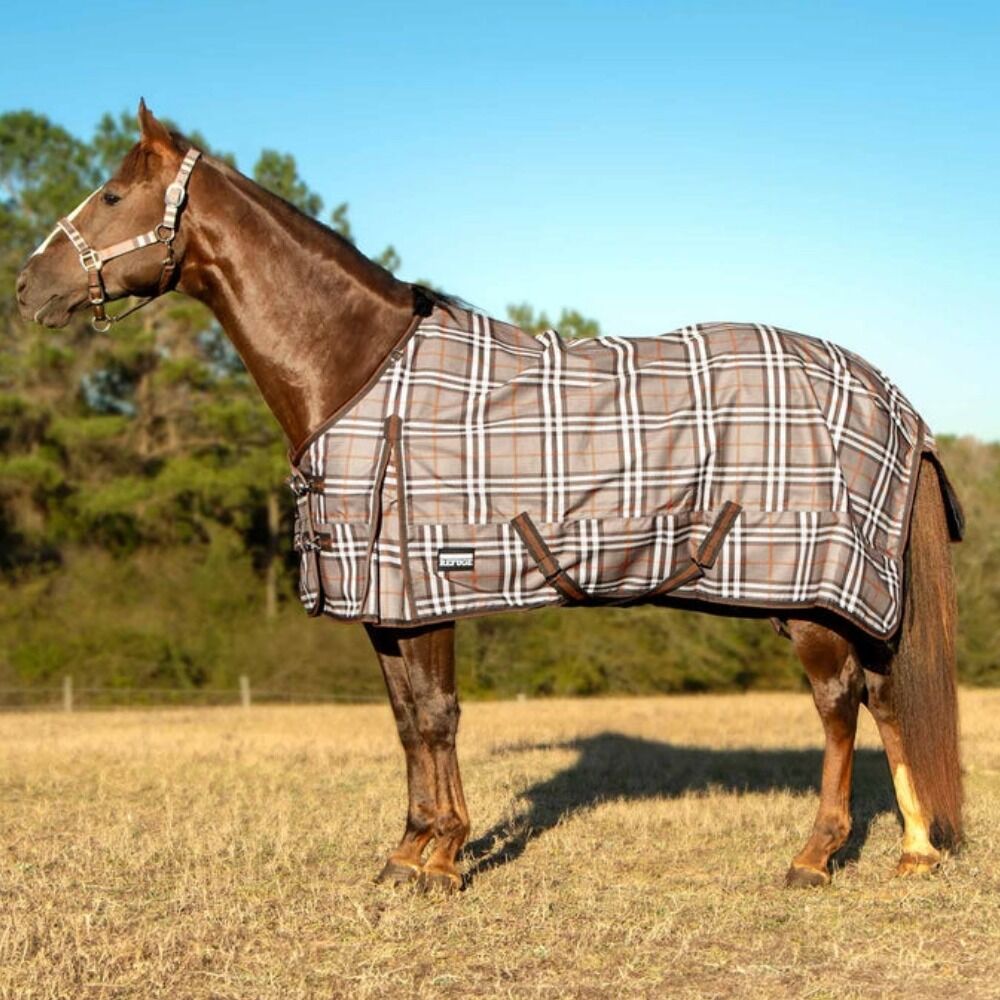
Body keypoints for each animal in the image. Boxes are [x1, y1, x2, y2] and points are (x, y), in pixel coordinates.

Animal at [15, 101, 963, 893]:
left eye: (110, 195)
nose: (27, 287)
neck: (359, 371)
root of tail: (891, 395)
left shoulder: (425, 583)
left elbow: (436, 716)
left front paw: (442, 859)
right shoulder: (383, 605)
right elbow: (406, 720)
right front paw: (406, 852)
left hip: (809, 597)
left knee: (840, 706)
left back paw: (814, 856)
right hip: (851, 599)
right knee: (885, 698)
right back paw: (914, 850)